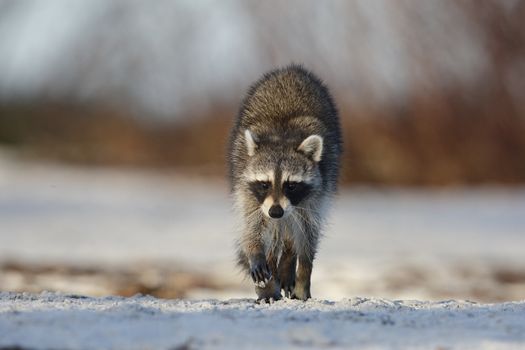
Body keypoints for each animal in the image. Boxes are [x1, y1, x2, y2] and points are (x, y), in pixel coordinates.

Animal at [227, 65, 342, 300]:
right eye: (264, 184)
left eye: (291, 185)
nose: (276, 211)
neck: (282, 137)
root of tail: (291, 69)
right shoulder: (248, 191)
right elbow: (252, 226)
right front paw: (256, 253)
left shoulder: (317, 193)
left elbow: (307, 235)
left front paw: (303, 274)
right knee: (274, 234)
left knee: (289, 232)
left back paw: (287, 263)